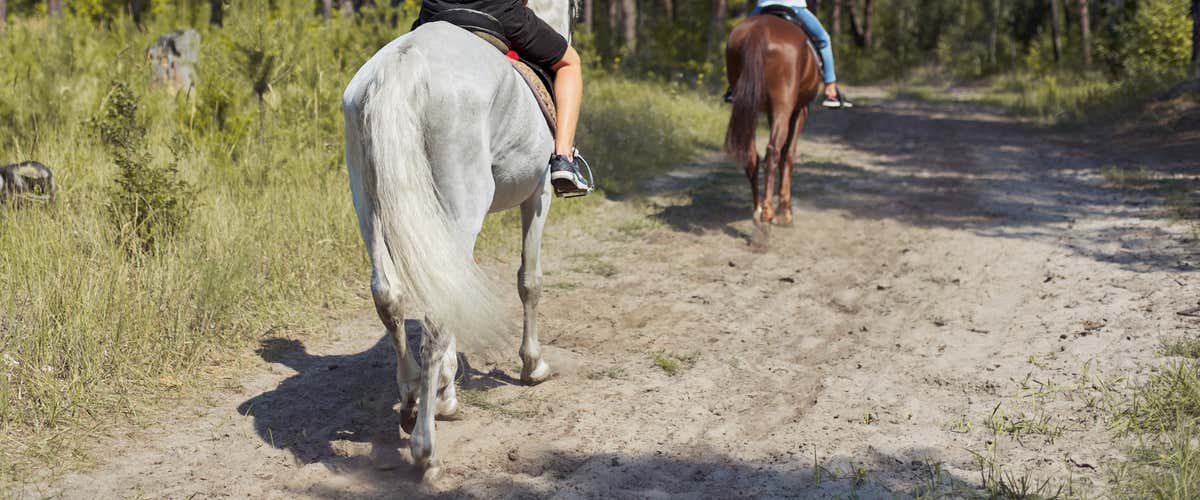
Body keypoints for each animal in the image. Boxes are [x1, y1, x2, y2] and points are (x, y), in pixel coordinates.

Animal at [340, 0, 572, 481]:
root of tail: (404, 64)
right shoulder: (538, 195)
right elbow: (530, 281)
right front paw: (532, 365)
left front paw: (445, 387)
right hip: (461, 203)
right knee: (437, 312)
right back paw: (426, 449)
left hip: (369, 201)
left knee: (389, 296)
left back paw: (413, 399)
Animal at [724, 13, 822, 235]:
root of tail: (759, 29)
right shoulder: (799, 111)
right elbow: (788, 155)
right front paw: (786, 213)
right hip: (783, 107)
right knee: (773, 152)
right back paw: (768, 214)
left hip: (748, 107)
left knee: (752, 156)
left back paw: (759, 211)